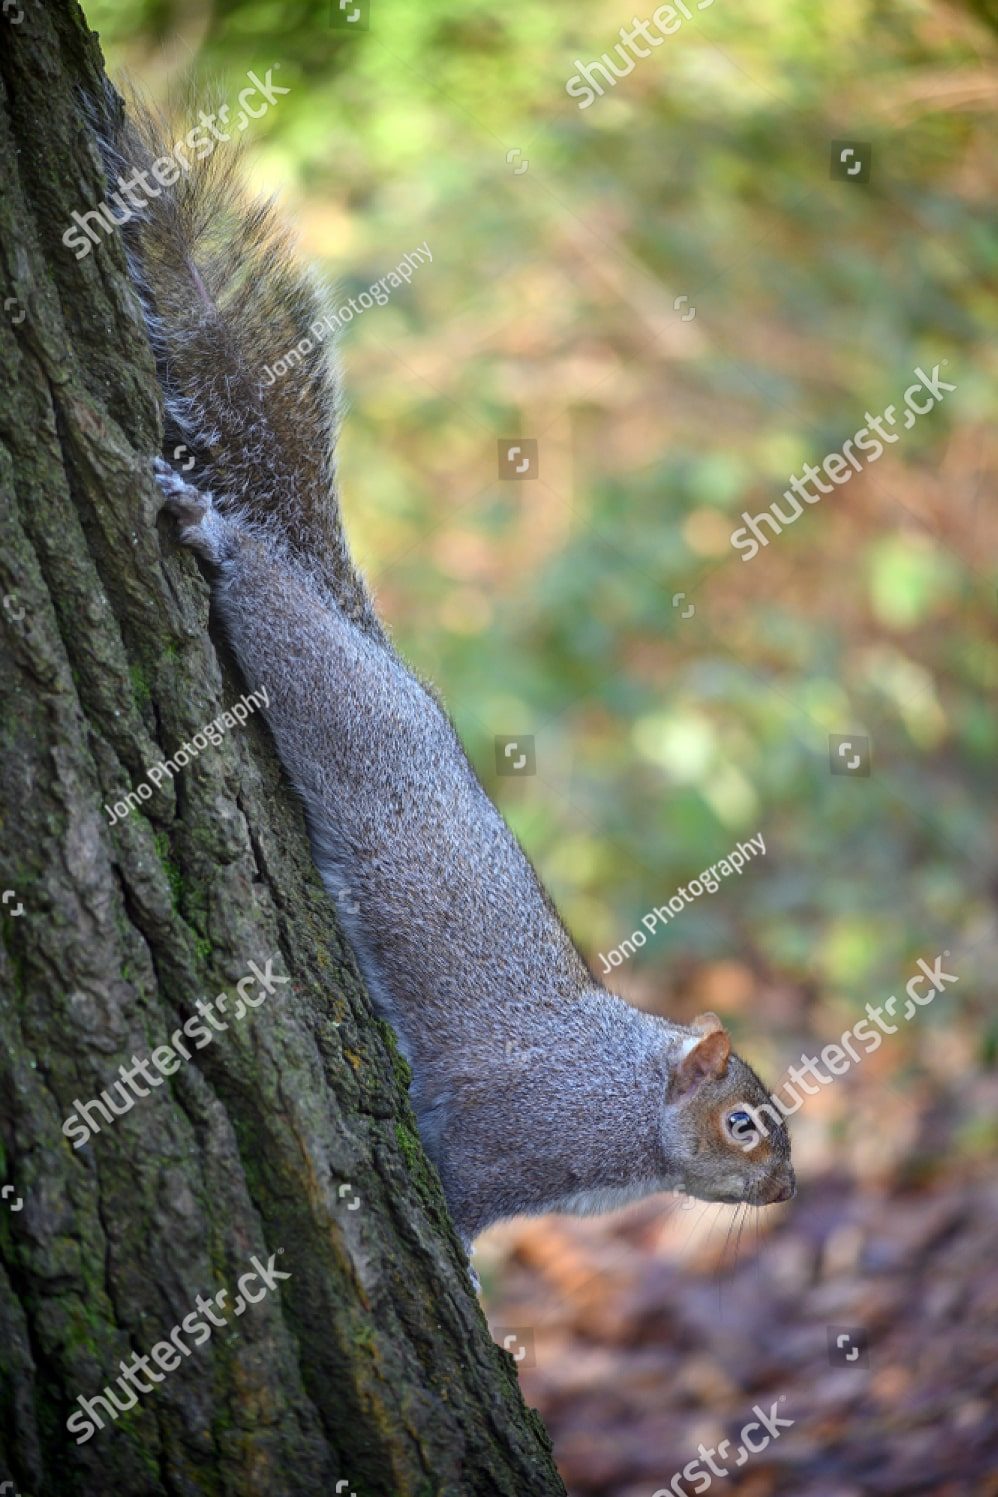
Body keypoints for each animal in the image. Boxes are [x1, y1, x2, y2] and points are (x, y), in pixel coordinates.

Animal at [98, 93, 795, 1246]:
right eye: (744, 1123)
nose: (788, 1189)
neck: (622, 1102)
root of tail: (380, 655)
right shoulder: (495, 1147)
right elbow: (458, 1201)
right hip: (319, 687)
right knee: (269, 597)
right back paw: (217, 532)